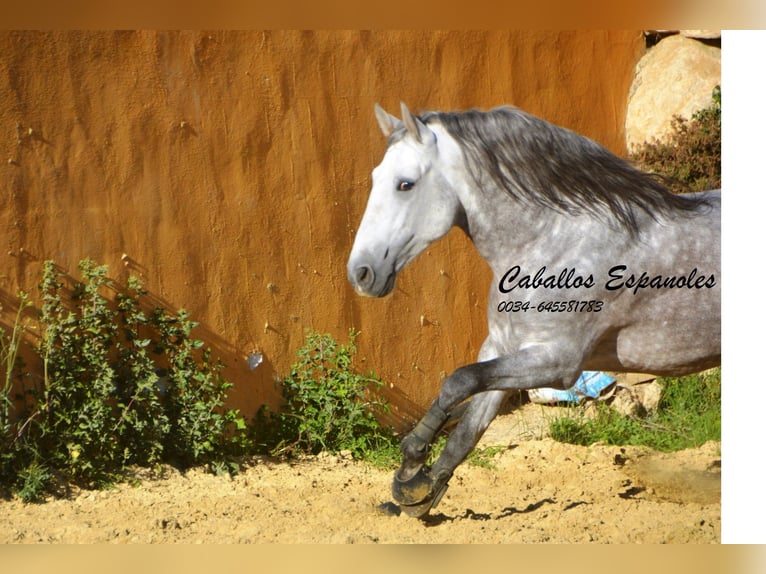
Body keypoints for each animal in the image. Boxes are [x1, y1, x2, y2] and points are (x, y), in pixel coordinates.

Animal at [348, 103, 720, 520]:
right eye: (375, 178)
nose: (361, 273)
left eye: (405, 184)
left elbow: (458, 382)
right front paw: (418, 491)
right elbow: (467, 425)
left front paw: (412, 468)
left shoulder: (558, 363)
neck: (555, 242)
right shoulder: (501, 349)